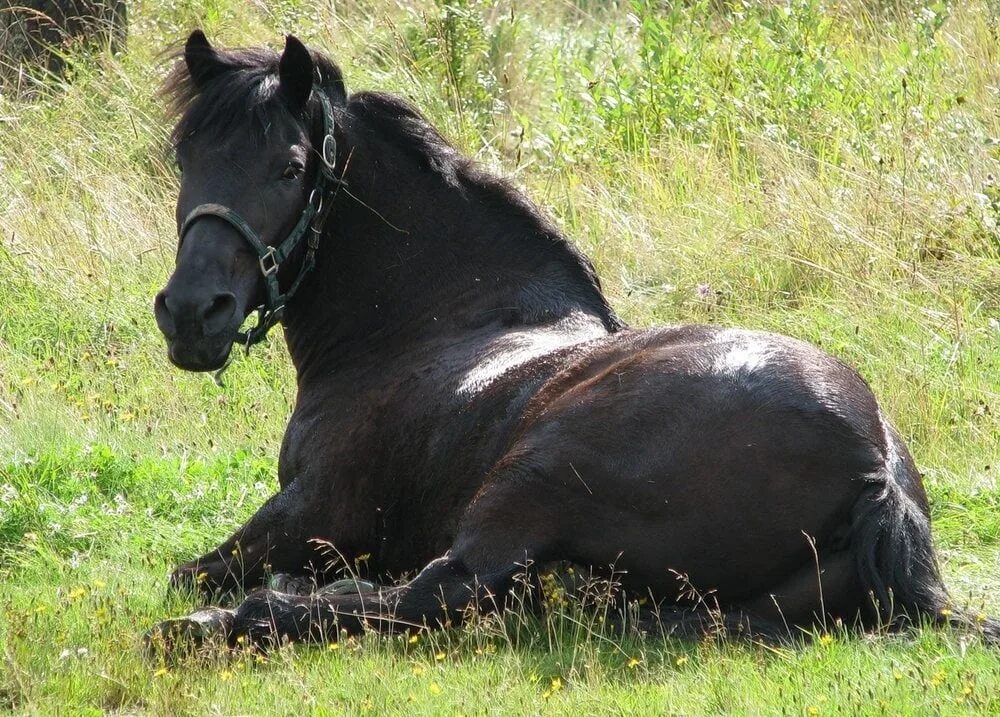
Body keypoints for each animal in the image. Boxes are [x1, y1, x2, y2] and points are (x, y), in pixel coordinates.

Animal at [145, 30, 996, 652]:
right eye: (185, 156)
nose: (191, 314)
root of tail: (875, 468)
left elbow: (191, 570)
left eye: (290, 167)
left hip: (535, 477)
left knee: (443, 590)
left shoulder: (314, 509)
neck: (437, 322)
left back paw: (228, 622)